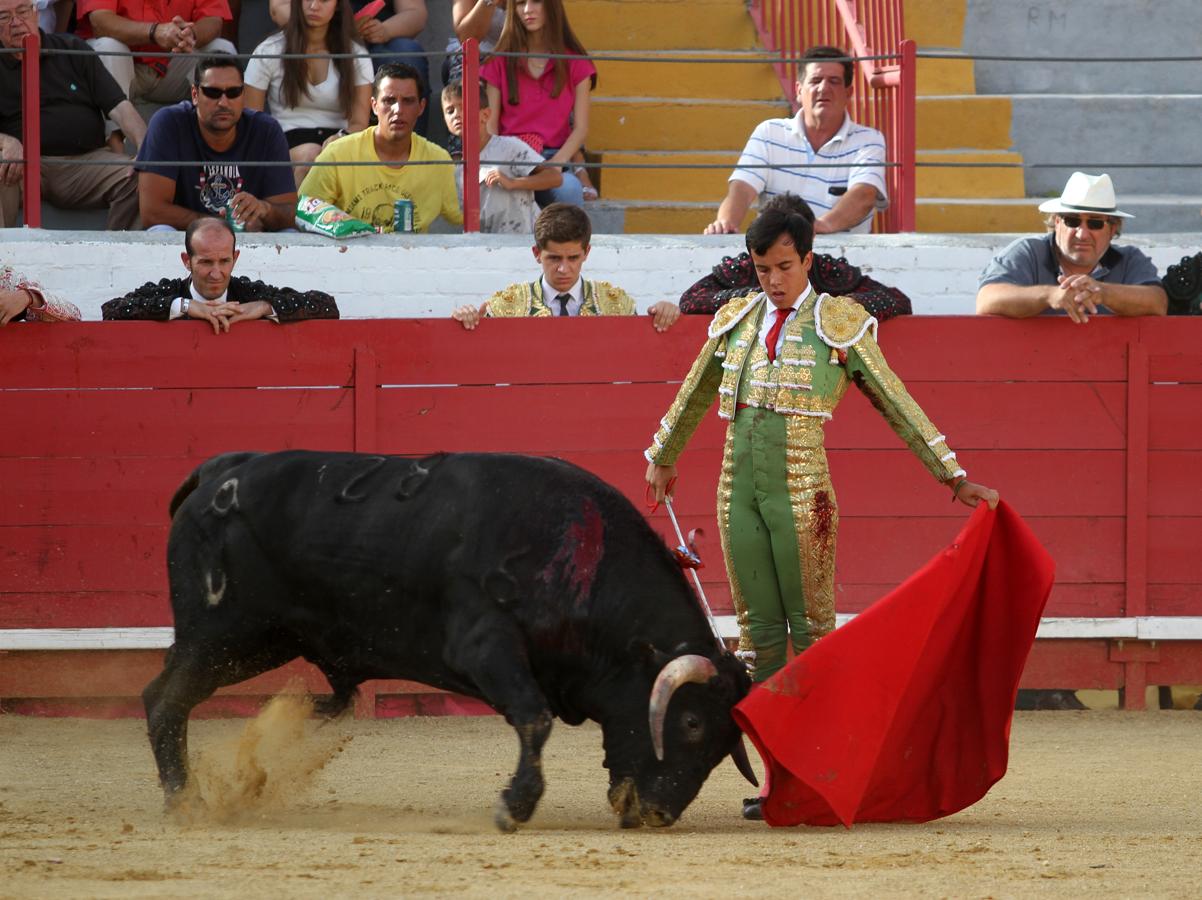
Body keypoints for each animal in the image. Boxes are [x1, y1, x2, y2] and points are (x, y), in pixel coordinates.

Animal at [145, 449, 754, 826]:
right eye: (692, 723)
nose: (658, 813)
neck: (574, 558)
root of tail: (222, 468)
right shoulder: (485, 645)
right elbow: (534, 717)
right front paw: (514, 807)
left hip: (265, 639)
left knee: (165, 695)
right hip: (221, 634)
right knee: (165, 699)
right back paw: (185, 801)